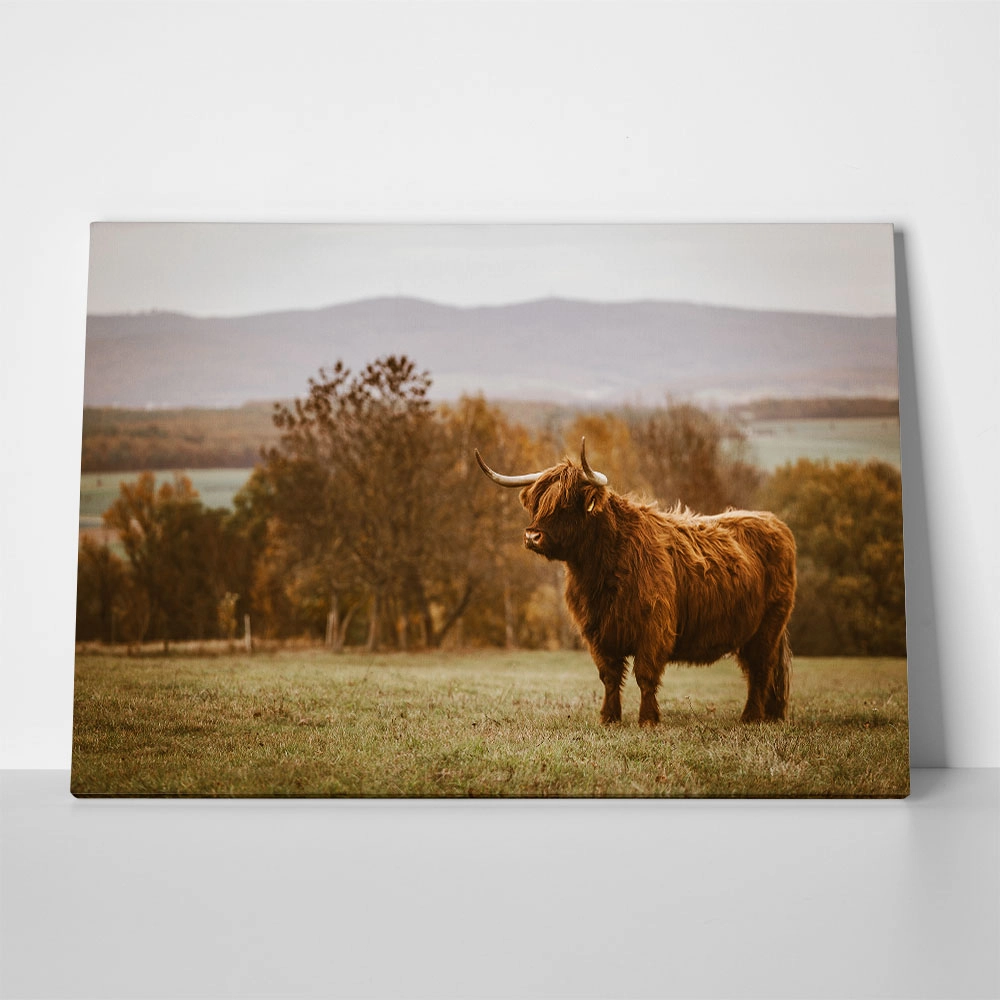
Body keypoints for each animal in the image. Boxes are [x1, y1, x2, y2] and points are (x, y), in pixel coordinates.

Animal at [475, 439, 796, 725]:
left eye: (566, 504)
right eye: (537, 504)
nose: (532, 536)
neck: (601, 570)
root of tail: (774, 522)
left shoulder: (654, 628)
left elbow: (645, 675)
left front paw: (648, 719)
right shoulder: (597, 631)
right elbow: (609, 677)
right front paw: (609, 718)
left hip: (768, 626)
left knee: (760, 669)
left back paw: (751, 717)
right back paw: (770, 714)